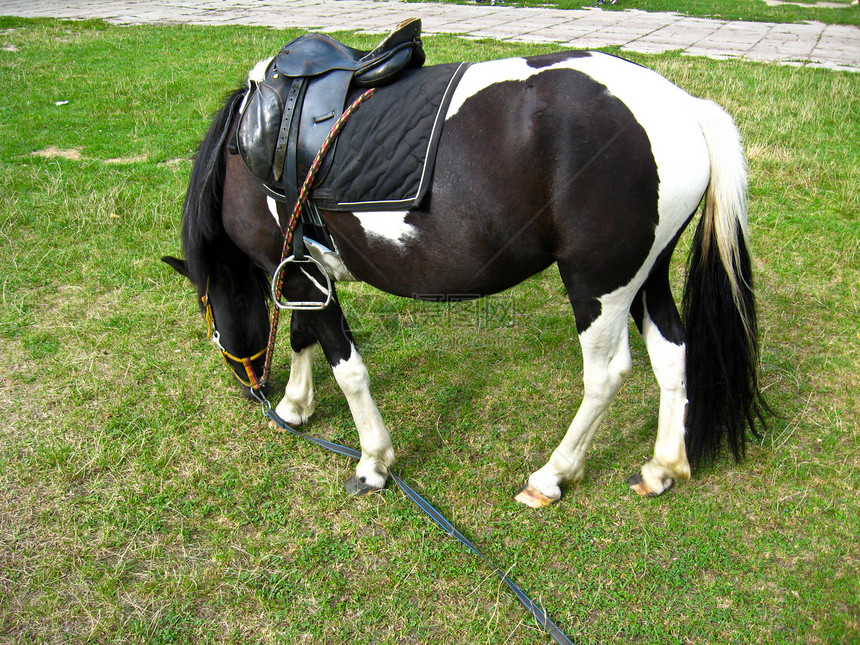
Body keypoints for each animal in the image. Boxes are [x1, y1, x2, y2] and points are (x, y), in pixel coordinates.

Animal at [161, 47, 764, 506]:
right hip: (647, 276)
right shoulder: (301, 271)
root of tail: (684, 107)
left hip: (598, 285)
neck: (252, 145)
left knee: (606, 375)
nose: (252, 391)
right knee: (672, 353)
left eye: (207, 315)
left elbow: (347, 368)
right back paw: (662, 468)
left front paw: (372, 461)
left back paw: (552, 475)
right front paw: (295, 406)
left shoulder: (297, 273)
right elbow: (301, 334)